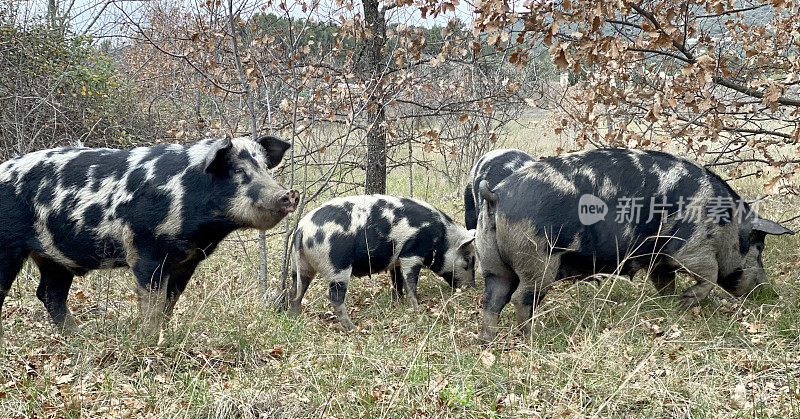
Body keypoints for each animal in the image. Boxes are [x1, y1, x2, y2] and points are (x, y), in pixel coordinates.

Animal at [0, 135, 298, 342]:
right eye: (238, 171)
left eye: (265, 167)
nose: (289, 194)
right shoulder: (146, 251)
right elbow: (152, 303)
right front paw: (150, 340)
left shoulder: (187, 261)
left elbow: (169, 302)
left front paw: (163, 337)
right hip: (9, 248)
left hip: (53, 257)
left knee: (49, 294)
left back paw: (79, 337)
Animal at [290, 196, 476, 332]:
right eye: (467, 260)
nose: (471, 287)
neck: (442, 239)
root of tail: (302, 229)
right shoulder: (412, 253)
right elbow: (411, 283)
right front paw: (417, 309)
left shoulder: (397, 261)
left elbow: (398, 281)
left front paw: (398, 302)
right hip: (337, 265)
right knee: (333, 295)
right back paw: (353, 328)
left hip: (301, 266)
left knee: (296, 289)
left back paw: (294, 316)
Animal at [476, 149, 792, 342]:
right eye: (759, 248)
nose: (767, 290)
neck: (726, 224)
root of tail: (496, 196)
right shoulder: (690, 248)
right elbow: (710, 274)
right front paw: (686, 300)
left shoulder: (659, 259)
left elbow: (664, 282)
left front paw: (671, 305)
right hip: (538, 259)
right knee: (521, 299)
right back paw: (531, 338)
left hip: (492, 262)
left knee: (492, 300)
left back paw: (487, 343)